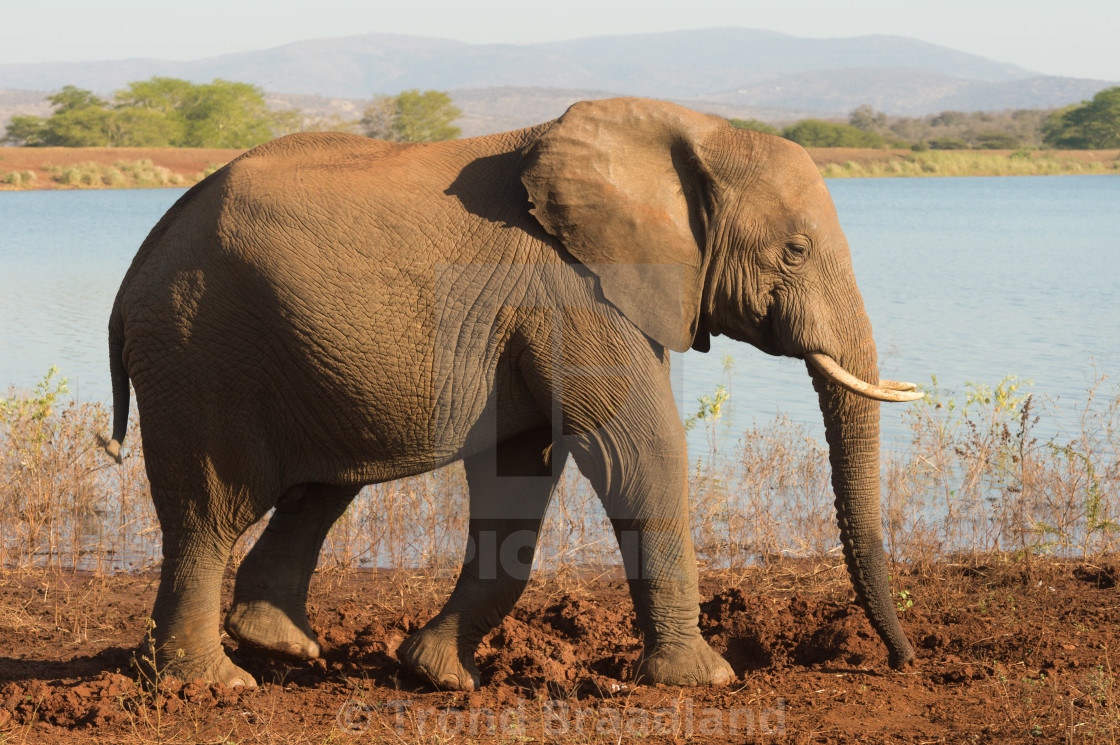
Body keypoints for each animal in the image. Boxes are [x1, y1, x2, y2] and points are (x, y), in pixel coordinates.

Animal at [100, 95, 922, 690]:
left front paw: (438, 674)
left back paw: (285, 650)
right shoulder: (574, 291)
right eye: (795, 251)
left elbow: (521, 472)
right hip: (199, 354)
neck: (695, 131)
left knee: (321, 488)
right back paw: (213, 684)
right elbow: (636, 450)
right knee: (208, 514)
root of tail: (136, 265)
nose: (901, 660)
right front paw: (704, 680)